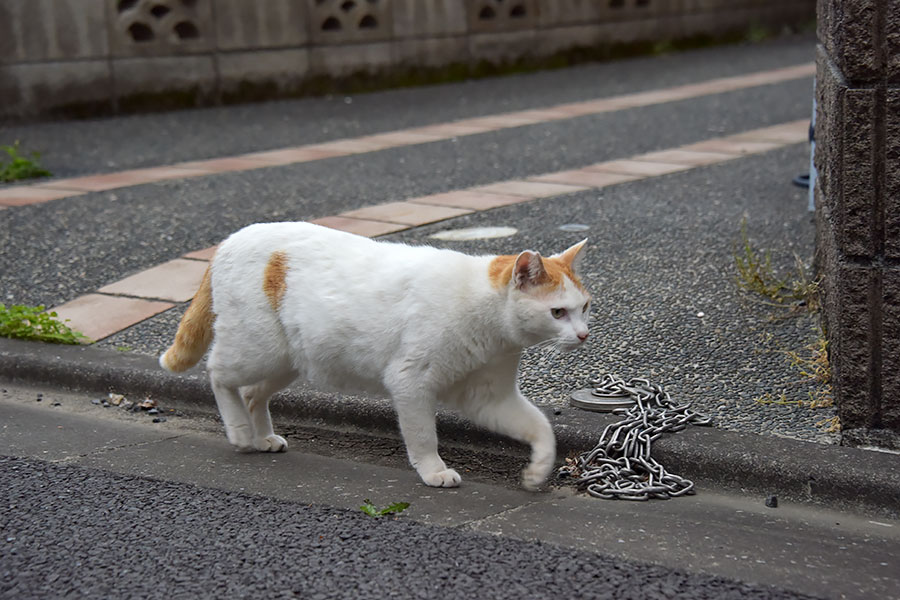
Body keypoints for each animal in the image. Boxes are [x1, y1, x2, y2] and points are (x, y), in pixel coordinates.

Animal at [161, 223, 592, 490]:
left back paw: (262, 437)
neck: (487, 319)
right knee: (217, 373)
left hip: (287, 360)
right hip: (256, 349)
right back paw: (238, 433)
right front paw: (433, 471)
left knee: (252, 393)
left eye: (585, 307)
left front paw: (538, 471)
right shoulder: (410, 381)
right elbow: (423, 435)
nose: (584, 335)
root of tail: (230, 239)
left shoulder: (490, 397)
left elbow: (541, 428)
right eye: (558, 312)